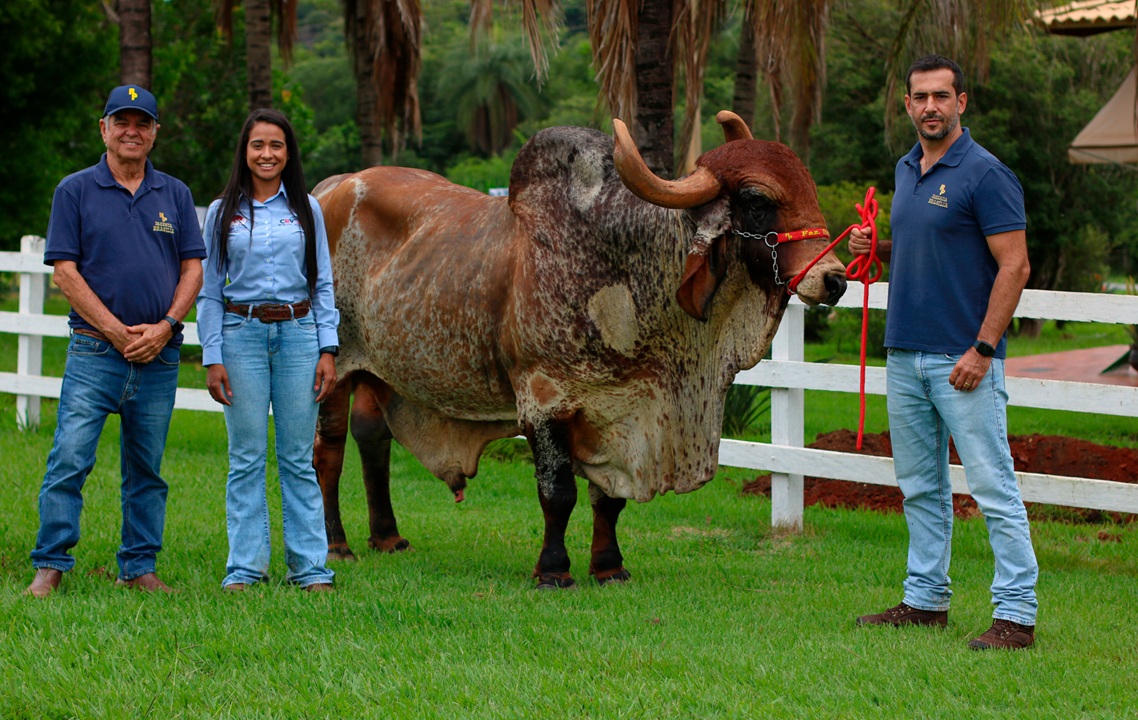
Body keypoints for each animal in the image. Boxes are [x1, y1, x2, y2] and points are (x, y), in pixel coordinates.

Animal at [309, 109, 846, 586]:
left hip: (378, 373)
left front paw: (608, 567)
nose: (834, 279)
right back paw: (336, 545)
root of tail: (332, 187)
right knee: (327, 453)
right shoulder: (543, 401)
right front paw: (553, 571)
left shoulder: (617, 412)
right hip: (333, 371)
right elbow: (558, 493)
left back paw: (387, 538)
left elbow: (608, 499)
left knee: (373, 438)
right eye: (757, 199)